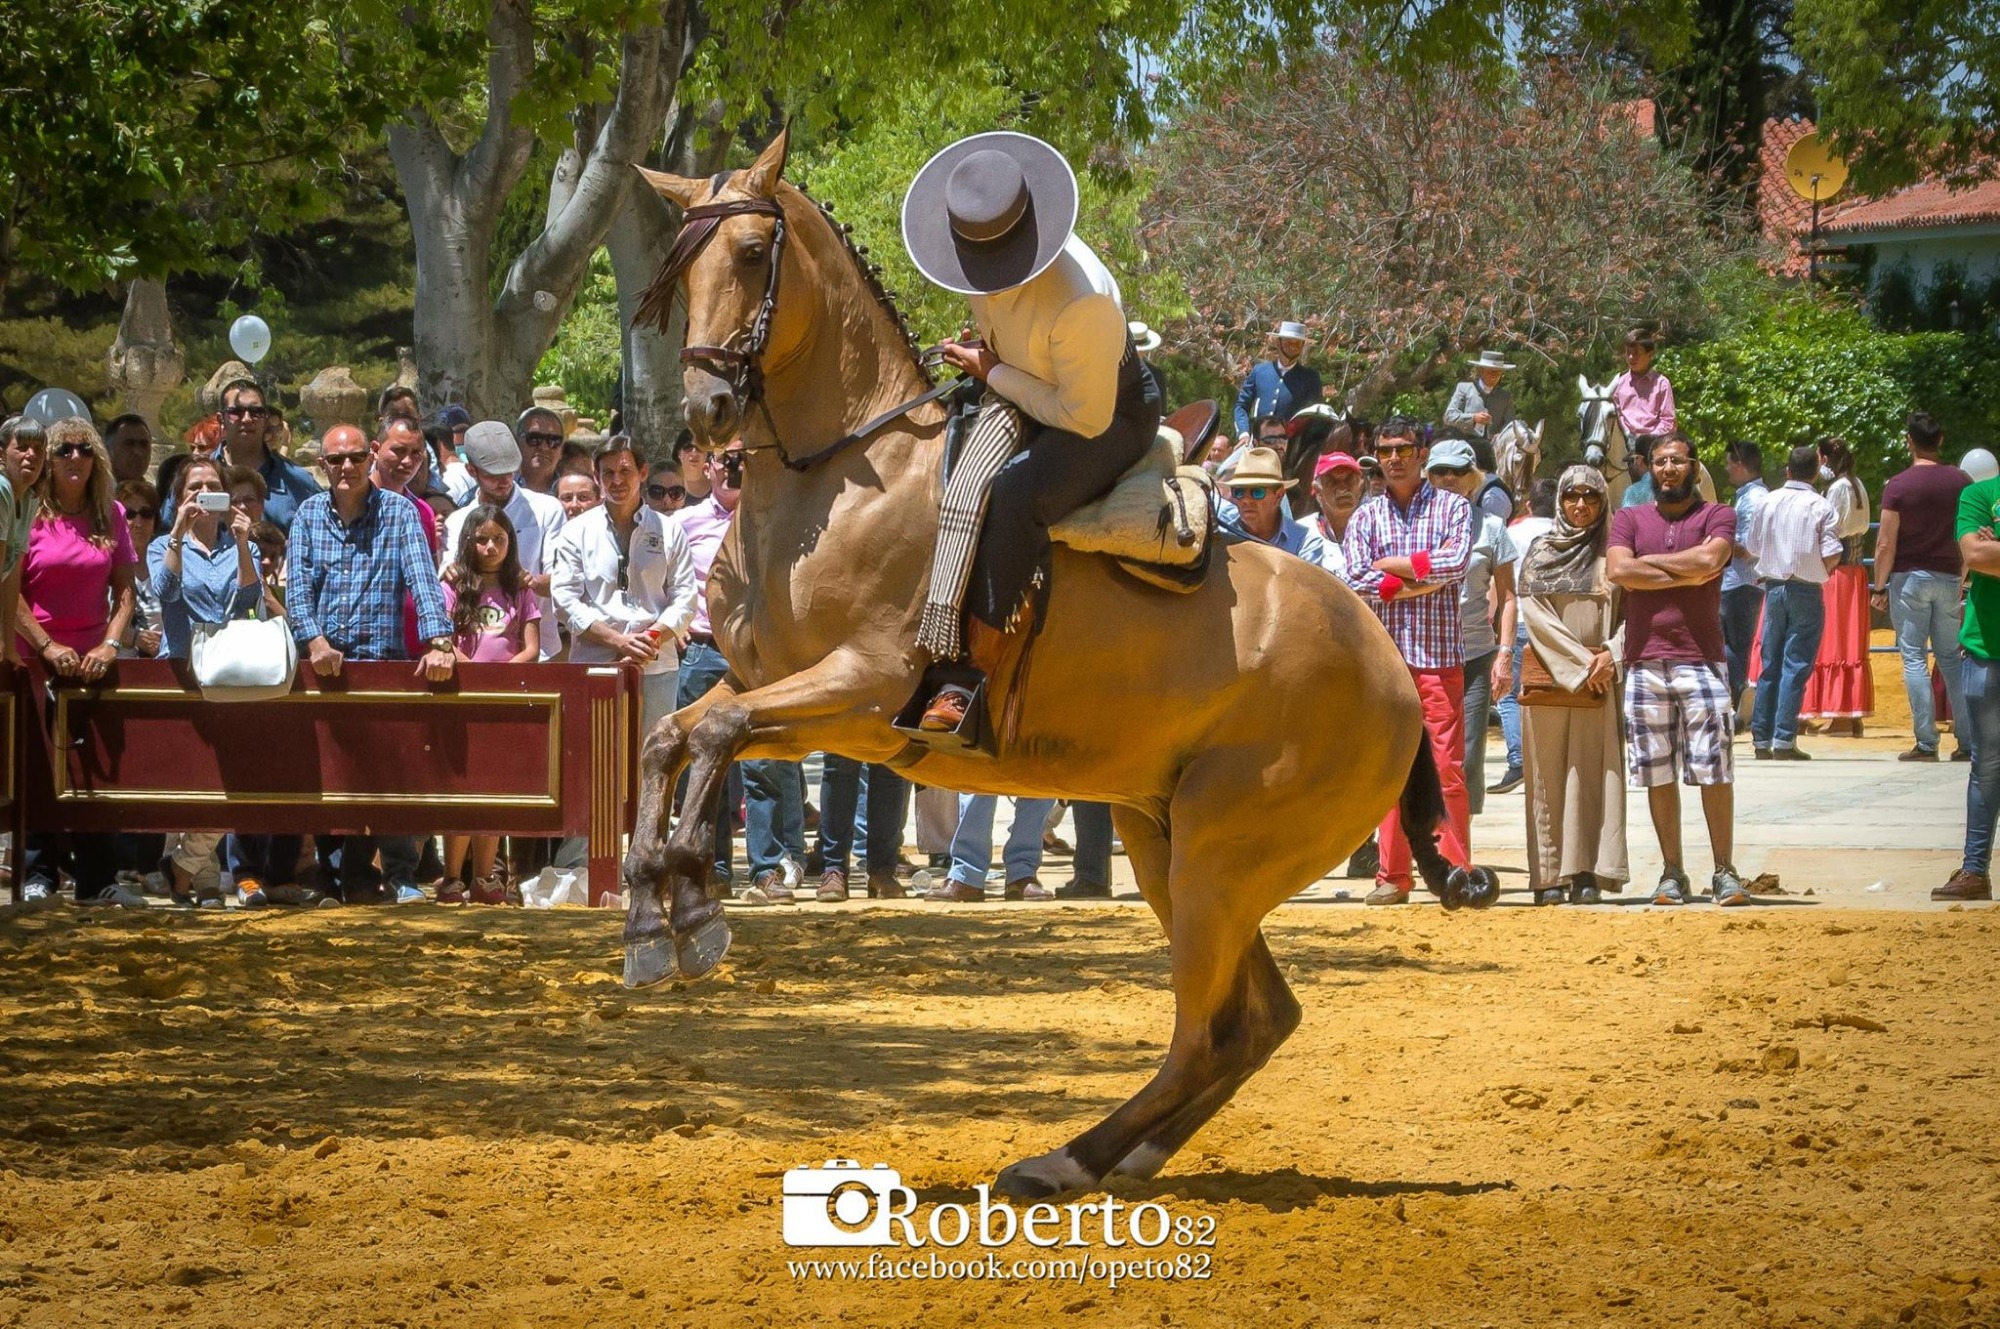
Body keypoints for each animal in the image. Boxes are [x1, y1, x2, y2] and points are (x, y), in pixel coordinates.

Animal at [620, 129, 1495, 1200]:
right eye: (679, 266)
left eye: (750, 254)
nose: (706, 407)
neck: (847, 480)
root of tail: (1386, 659)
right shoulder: (780, 699)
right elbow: (673, 736)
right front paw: (648, 915)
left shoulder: (861, 696)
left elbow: (709, 731)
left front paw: (695, 903)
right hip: (1169, 845)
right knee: (1254, 1021)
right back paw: (1114, 1156)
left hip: (1219, 862)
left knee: (1205, 1032)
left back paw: (1064, 1158)